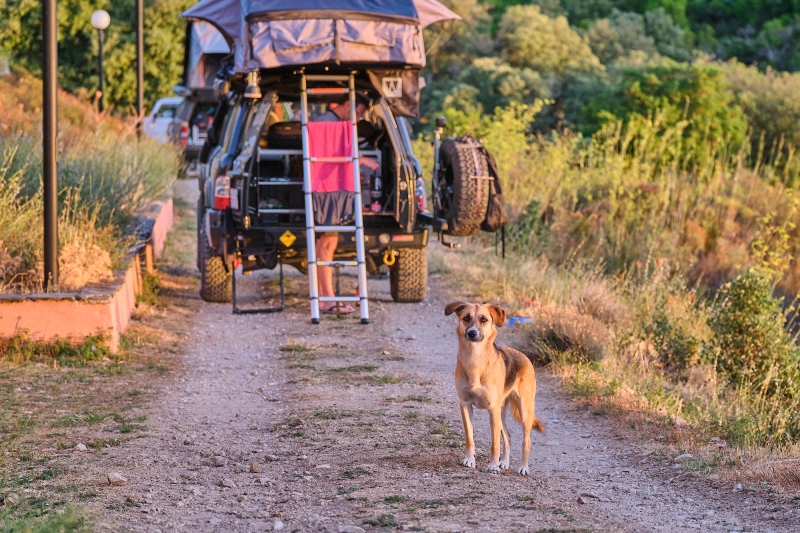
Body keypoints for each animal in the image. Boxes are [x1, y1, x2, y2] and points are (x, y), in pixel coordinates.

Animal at [444, 302, 544, 476]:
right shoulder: (465, 405)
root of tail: (523, 355)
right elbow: (469, 436)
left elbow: (494, 443)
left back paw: (523, 467)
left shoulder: (492, 409)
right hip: (501, 412)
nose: (471, 333)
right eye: (466, 318)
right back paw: (504, 462)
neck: (475, 359)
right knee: (508, 436)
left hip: (523, 411)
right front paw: (470, 460)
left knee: (526, 440)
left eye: (484, 319)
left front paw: (492, 465)